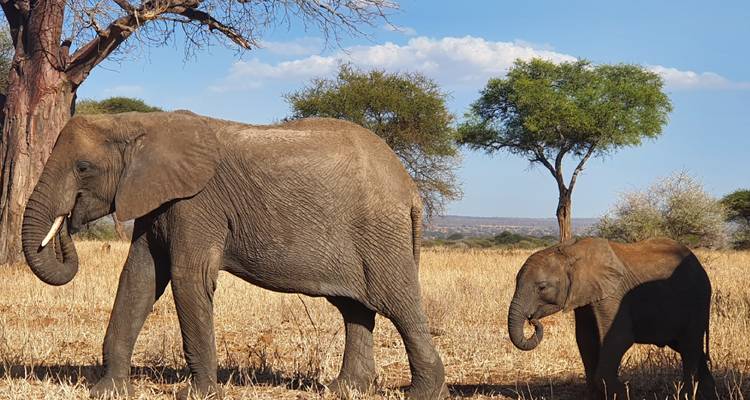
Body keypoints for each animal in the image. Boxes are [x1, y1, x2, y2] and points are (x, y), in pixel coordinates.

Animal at [21, 111, 447, 399]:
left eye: (83, 167)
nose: (67, 224)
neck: (142, 124)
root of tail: (409, 188)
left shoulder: (196, 203)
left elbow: (187, 277)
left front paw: (197, 395)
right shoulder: (156, 200)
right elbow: (139, 278)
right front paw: (107, 391)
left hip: (380, 233)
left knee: (399, 304)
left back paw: (421, 394)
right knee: (355, 308)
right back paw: (344, 389)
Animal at [507, 237, 716, 400]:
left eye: (542, 287)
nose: (532, 320)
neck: (570, 251)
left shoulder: (613, 294)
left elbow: (618, 338)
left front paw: (625, 393)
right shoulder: (585, 296)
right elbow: (585, 339)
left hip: (697, 302)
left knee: (689, 348)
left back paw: (688, 394)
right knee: (691, 349)